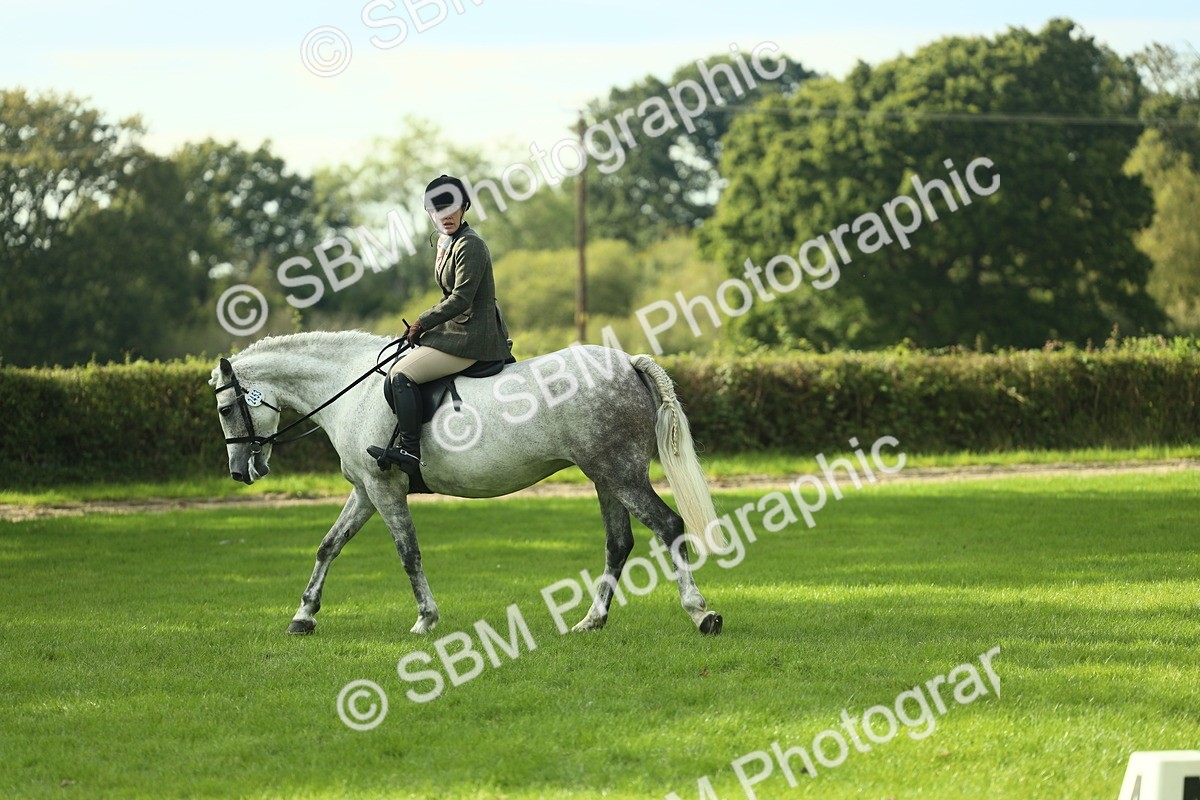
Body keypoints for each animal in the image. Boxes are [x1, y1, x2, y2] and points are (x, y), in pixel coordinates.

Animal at [209, 330, 724, 636]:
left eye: (225, 409)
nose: (239, 472)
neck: (351, 390)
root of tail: (628, 362)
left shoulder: (384, 489)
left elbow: (408, 553)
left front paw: (425, 619)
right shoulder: (365, 492)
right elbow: (328, 546)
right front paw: (303, 616)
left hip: (620, 474)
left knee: (668, 526)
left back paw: (701, 613)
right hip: (604, 477)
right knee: (618, 543)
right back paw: (591, 620)